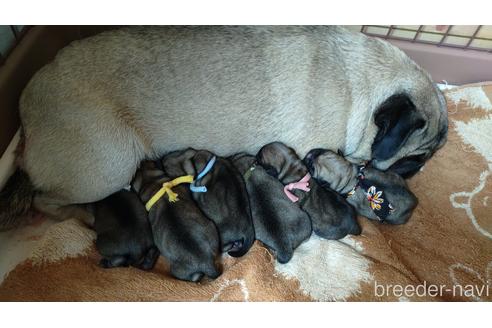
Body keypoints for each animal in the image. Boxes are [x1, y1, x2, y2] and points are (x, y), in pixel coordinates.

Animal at [0, 26, 446, 228]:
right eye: (413, 159)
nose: (419, 169)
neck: (360, 83)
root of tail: (25, 118)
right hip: (108, 166)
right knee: (45, 202)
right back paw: (87, 215)